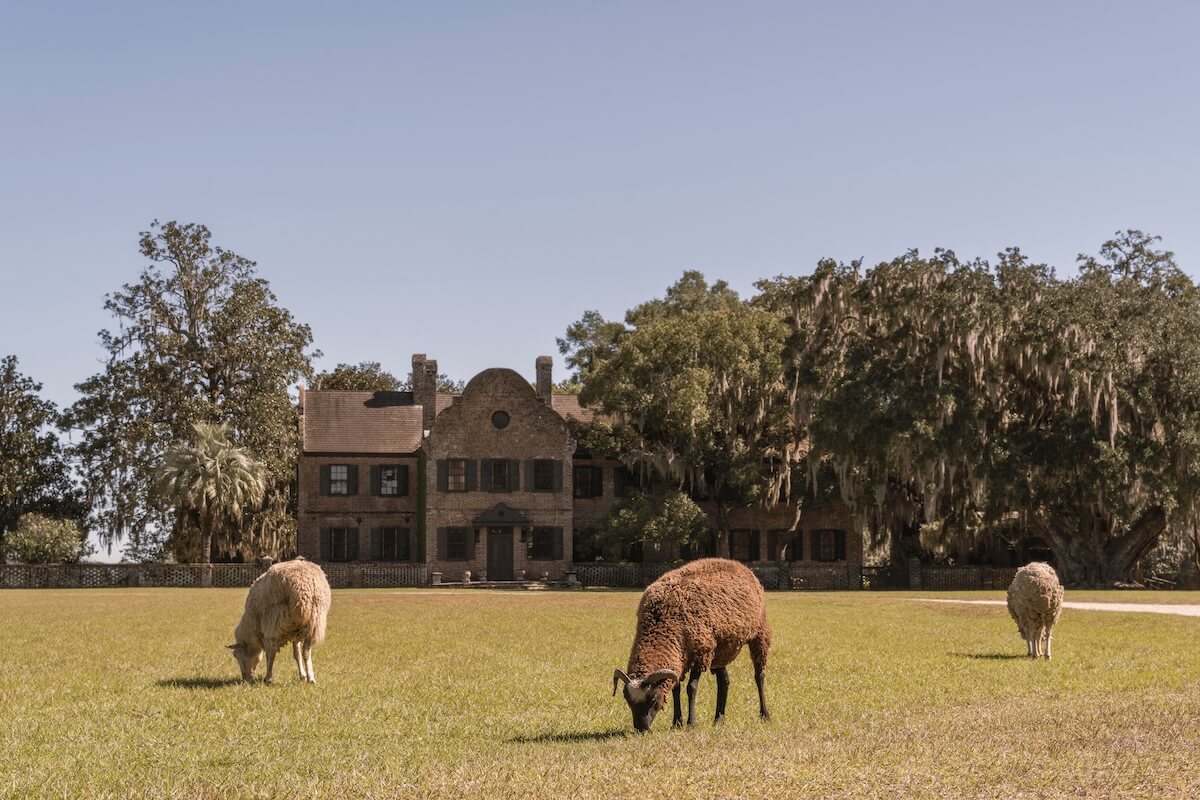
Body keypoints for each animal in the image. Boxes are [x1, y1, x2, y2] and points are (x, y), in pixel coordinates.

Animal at [612, 557, 771, 732]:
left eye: (653, 699)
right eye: (626, 699)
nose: (642, 729)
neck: (662, 622)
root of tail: (737, 564)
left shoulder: (700, 654)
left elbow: (691, 688)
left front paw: (690, 723)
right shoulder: (680, 658)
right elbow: (676, 689)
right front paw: (677, 722)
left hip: (759, 634)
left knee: (759, 676)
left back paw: (764, 715)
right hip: (720, 650)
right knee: (724, 682)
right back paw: (719, 718)